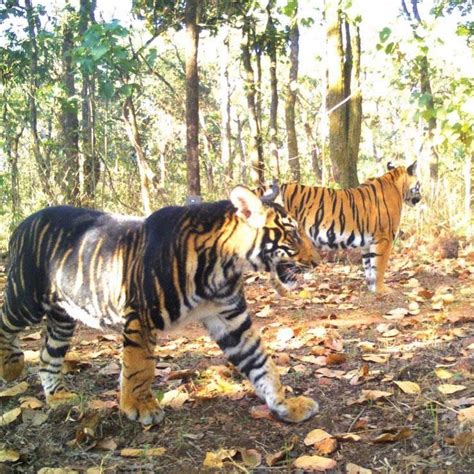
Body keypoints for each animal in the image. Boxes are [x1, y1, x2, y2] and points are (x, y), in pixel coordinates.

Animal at [0, 186, 318, 426]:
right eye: (292, 235)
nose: (317, 261)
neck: (225, 267)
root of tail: (22, 224)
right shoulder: (141, 315)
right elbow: (140, 366)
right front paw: (140, 407)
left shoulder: (230, 318)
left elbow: (262, 363)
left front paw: (287, 404)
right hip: (25, 298)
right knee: (6, 324)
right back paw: (11, 367)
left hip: (63, 317)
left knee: (47, 357)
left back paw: (58, 398)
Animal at [262, 163, 420, 292]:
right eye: (419, 184)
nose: (420, 198)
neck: (397, 186)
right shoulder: (384, 238)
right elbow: (379, 266)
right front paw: (382, 290)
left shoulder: (368, 242)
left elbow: (369, 266)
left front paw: (372, 288)